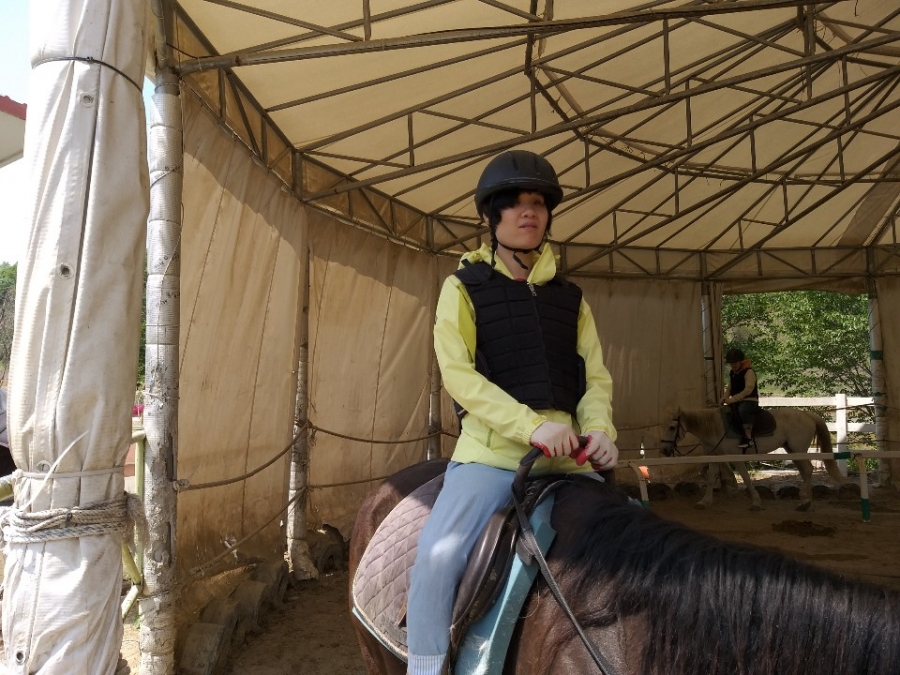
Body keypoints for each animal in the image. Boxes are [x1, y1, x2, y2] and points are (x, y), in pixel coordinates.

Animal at [660, 406, 846, 511]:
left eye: (672, 427)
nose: (663, 450)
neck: (715, 427)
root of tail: (808, 415)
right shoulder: (714, 456)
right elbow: (711, 479)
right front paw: (704, 502)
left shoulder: (735, 458)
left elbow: (746, 478)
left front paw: (756, 502)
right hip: (791, 450)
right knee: (805, 470)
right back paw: (806, 499)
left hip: (797, 450)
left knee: (807, 469)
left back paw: (804, 502)